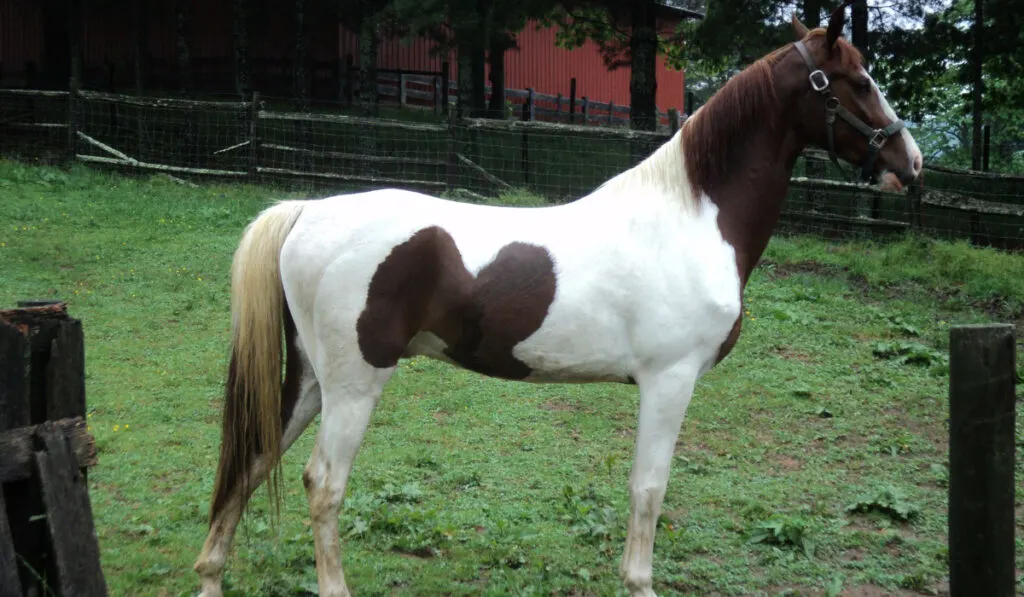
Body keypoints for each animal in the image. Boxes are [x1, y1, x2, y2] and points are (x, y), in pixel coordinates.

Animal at [190, 4, 921, 597]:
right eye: (858, 81)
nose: (910, 163)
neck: (691, 217)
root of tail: (306, 212)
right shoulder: (670, 380)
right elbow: (649, 489)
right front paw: (638, 582)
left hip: (312, 379)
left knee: (252, 458)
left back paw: (211, 574)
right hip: (354, 384)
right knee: (323, 484)